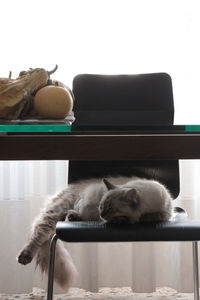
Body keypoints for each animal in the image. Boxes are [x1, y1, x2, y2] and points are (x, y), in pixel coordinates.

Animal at [16, 176, 173, 290]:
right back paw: (24, 256)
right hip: (57, 212)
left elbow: (155, 215)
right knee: (39, 232)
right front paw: (123, 220)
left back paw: (72, 216)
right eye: (102, 206)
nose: (101, 214)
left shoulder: (166, 213)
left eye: (110, 208)